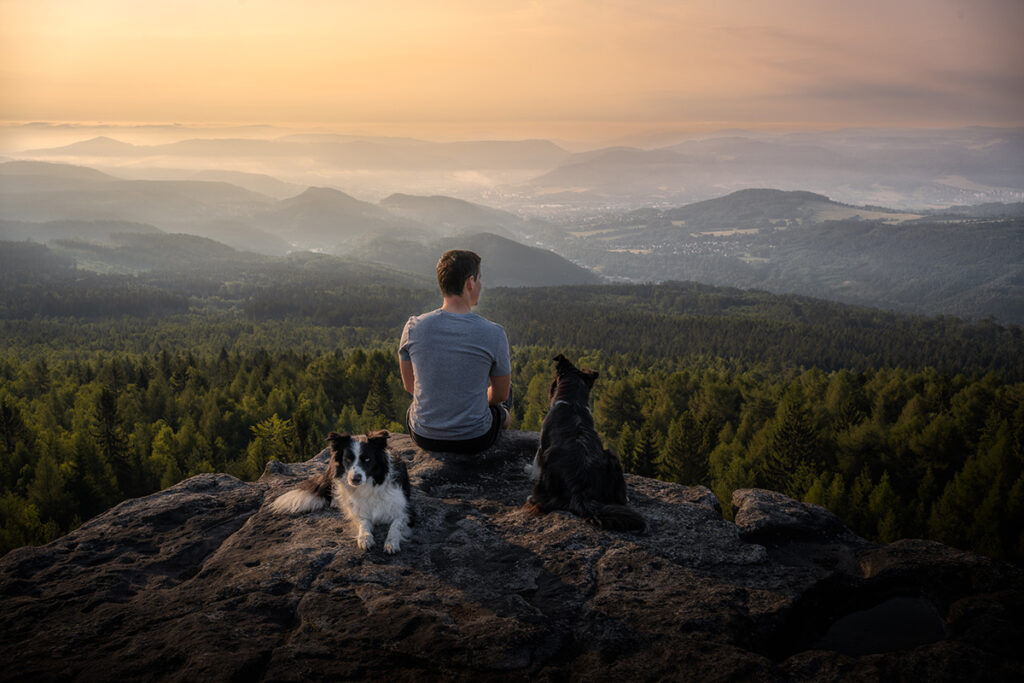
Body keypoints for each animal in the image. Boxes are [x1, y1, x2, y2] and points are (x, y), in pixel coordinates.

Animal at [274, 432, 417, 557]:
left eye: (367, 459)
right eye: (348, 459)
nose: (355, 479)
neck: (370, 485)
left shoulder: (406, 510)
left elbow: (396, 525)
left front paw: (391, 543)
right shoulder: (358, 509)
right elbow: (363, 522)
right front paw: (364, 538)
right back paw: (336, 501)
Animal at [524, 356, 643, 532]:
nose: (549, 389)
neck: (572, 401)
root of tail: (581, 490)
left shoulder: (542, 445)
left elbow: (535, 463)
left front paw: (528, 469)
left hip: (548, 467)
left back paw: (531, 497)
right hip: (613, 458)